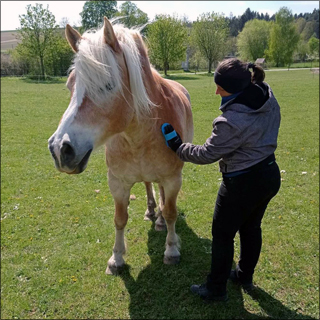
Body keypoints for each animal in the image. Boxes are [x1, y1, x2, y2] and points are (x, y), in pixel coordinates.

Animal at [47, 16, 192, 274]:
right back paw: (151, 211)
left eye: (107, 85)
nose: (60, 149)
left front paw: (172, 250)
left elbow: (171, 212)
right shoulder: (117, 183)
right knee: (149, 186)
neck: (138, 136)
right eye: (70, 86)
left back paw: (159, 220)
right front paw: (116, 258)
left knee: (162, 196)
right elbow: (120, 218)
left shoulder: (173, 179)